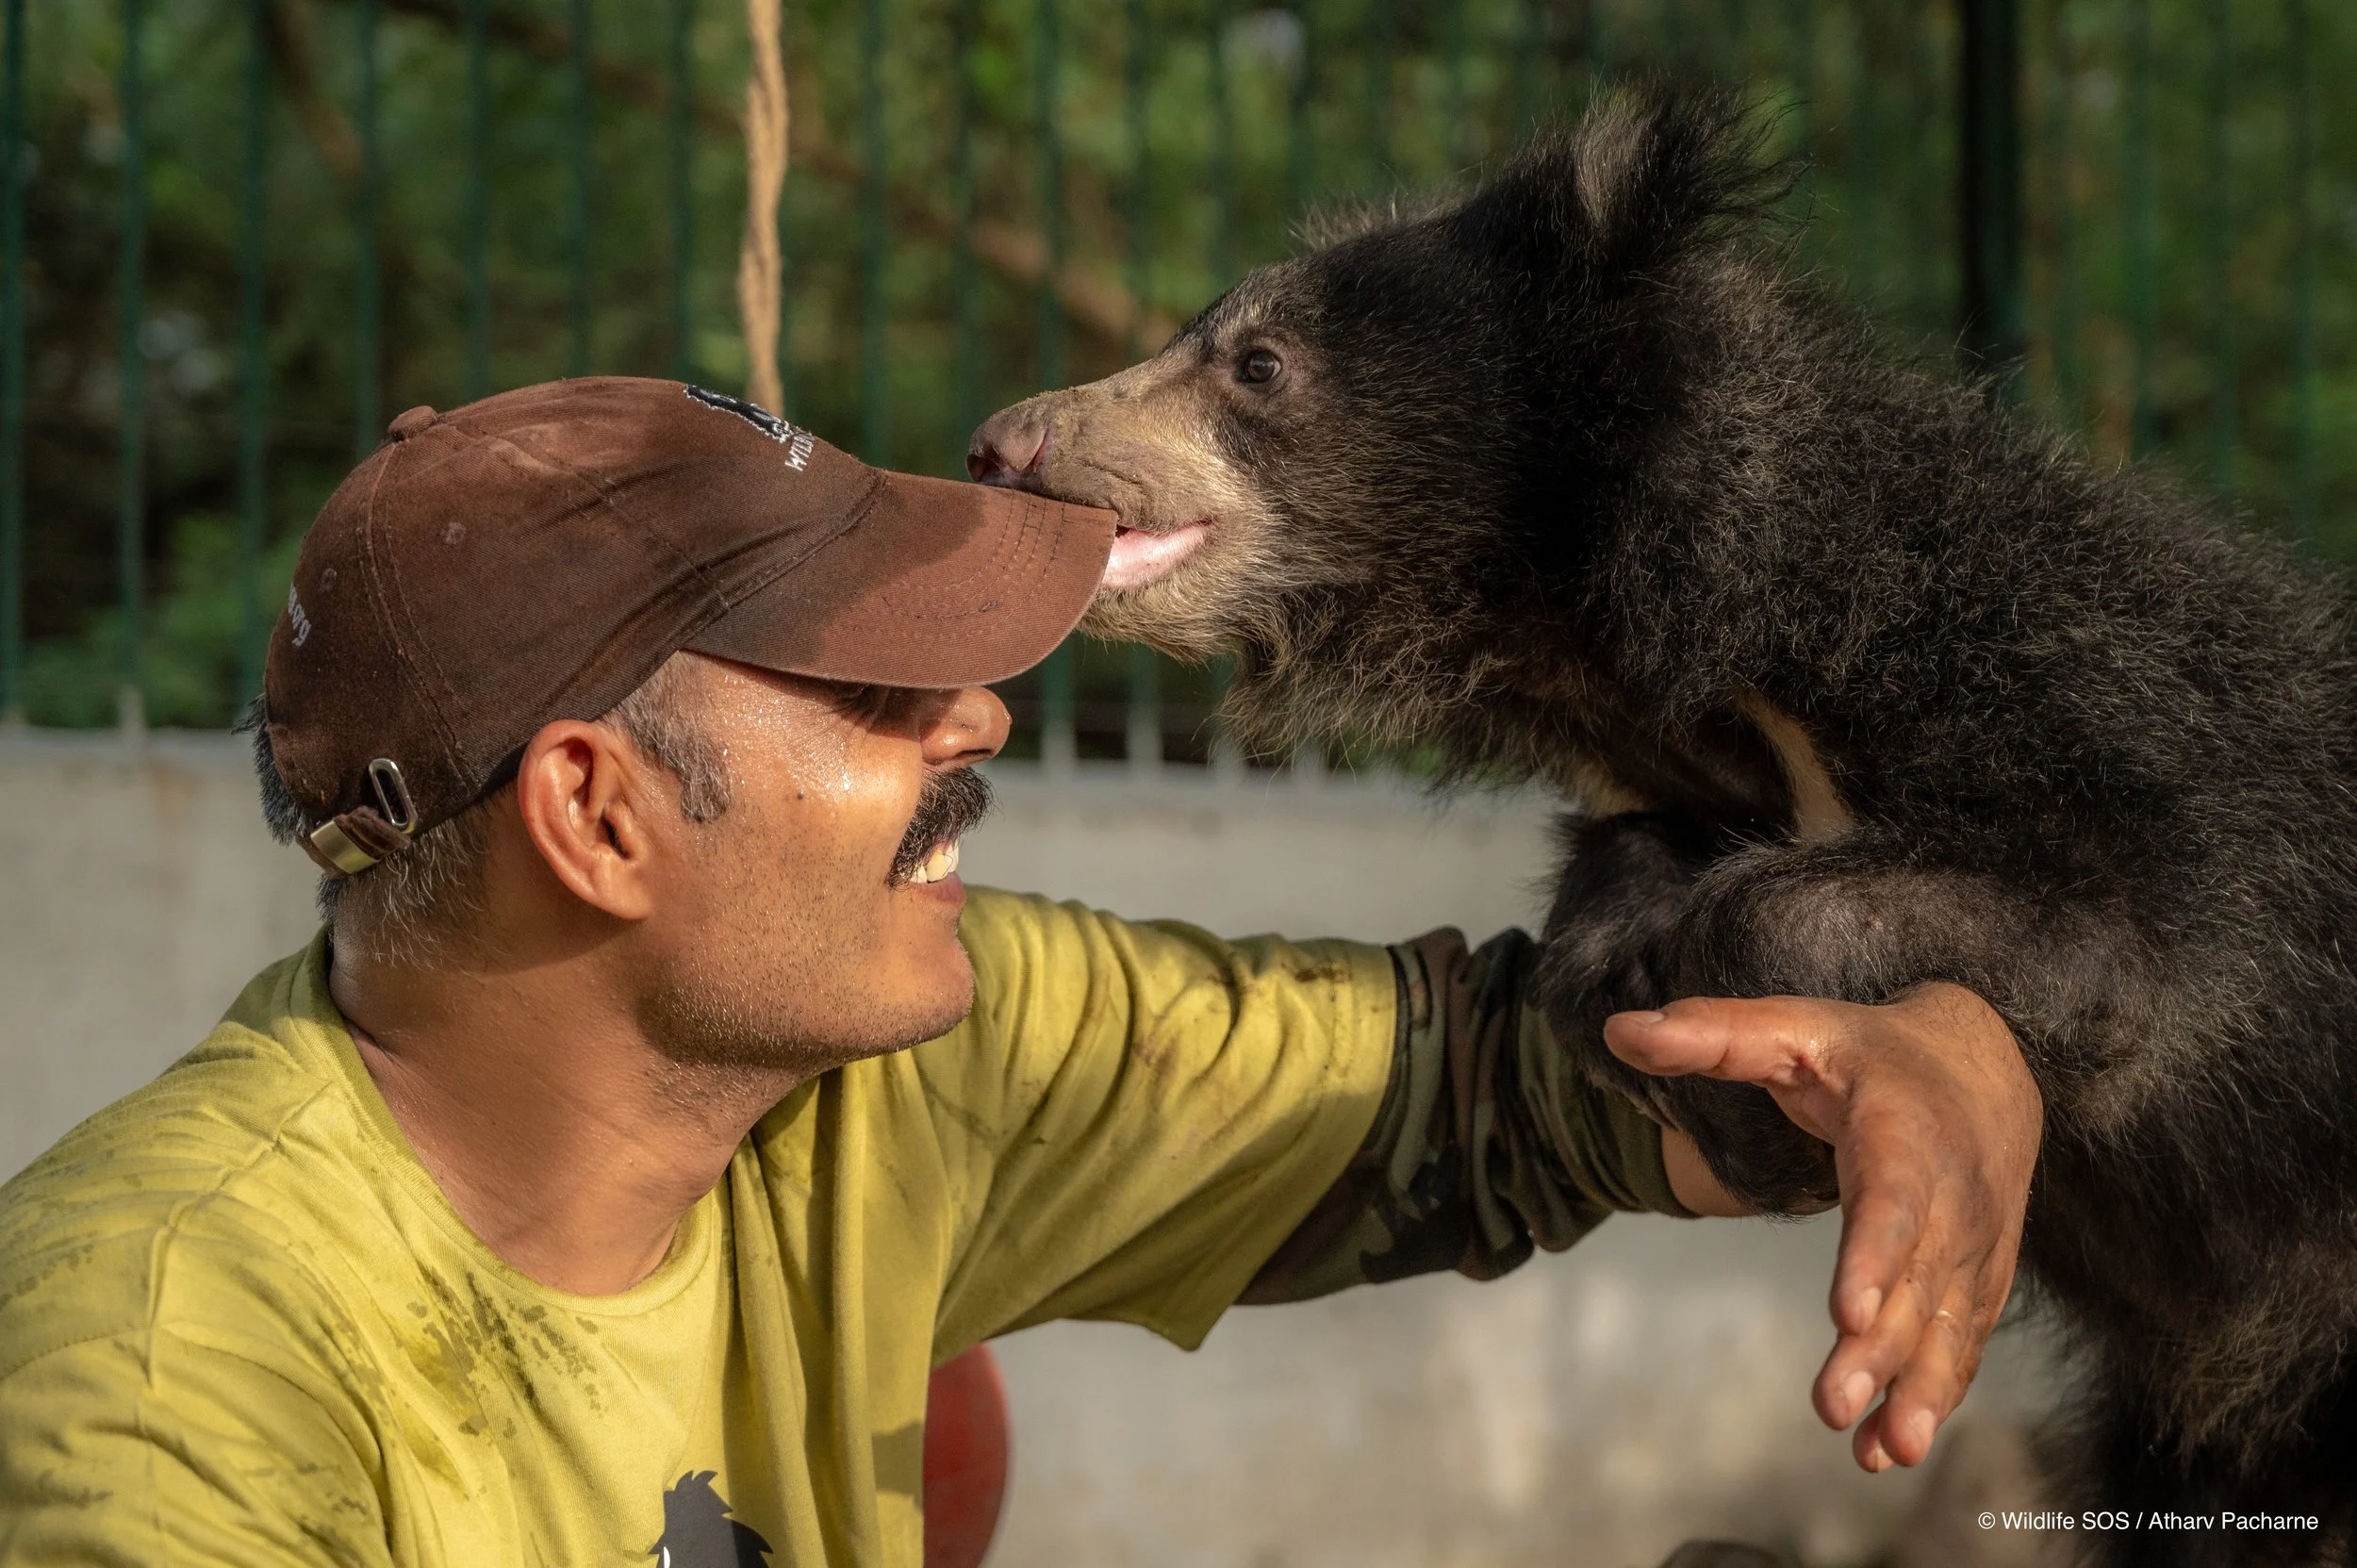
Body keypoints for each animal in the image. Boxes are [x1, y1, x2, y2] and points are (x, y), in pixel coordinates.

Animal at [967, 86, 2357, 1567]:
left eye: (1258, 366)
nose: (1003, 443)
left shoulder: (2107, 714)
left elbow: (2143, 942)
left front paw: (1747, 1061)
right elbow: (1617, 888)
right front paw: (1641, 997)